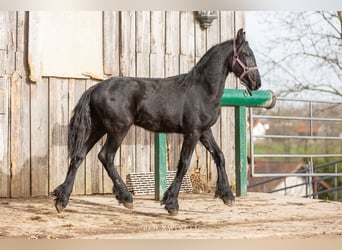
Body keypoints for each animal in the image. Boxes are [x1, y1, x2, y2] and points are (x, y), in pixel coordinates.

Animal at [53, 27, 260, 215]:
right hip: (118, 129)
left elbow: (219, 156)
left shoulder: (204, 132)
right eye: (246, 54)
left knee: (78, 156)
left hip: (99, 128)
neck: (202, 90)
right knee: (106, 156)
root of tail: (95, 88)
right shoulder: (192, 132)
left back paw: (62, 199)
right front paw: (171, 203)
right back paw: (126, 198)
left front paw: (227, 196)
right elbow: (184, 163)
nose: (257, 83)